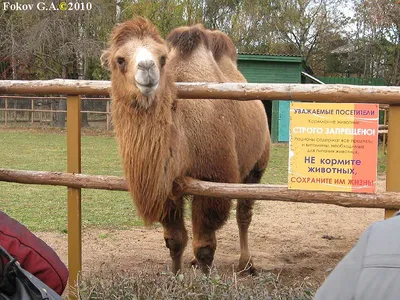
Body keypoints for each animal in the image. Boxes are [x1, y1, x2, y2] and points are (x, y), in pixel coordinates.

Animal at [101, 17, 270, 274]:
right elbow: (175, 240)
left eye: (162, 58)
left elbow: (205, 247)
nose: (147, 67)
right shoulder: (168, 188)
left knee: (244, 214)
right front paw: (175, 275)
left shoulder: (214, 182)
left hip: (256, 166)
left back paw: (246, 264)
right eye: (119, 59)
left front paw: (206, 278)